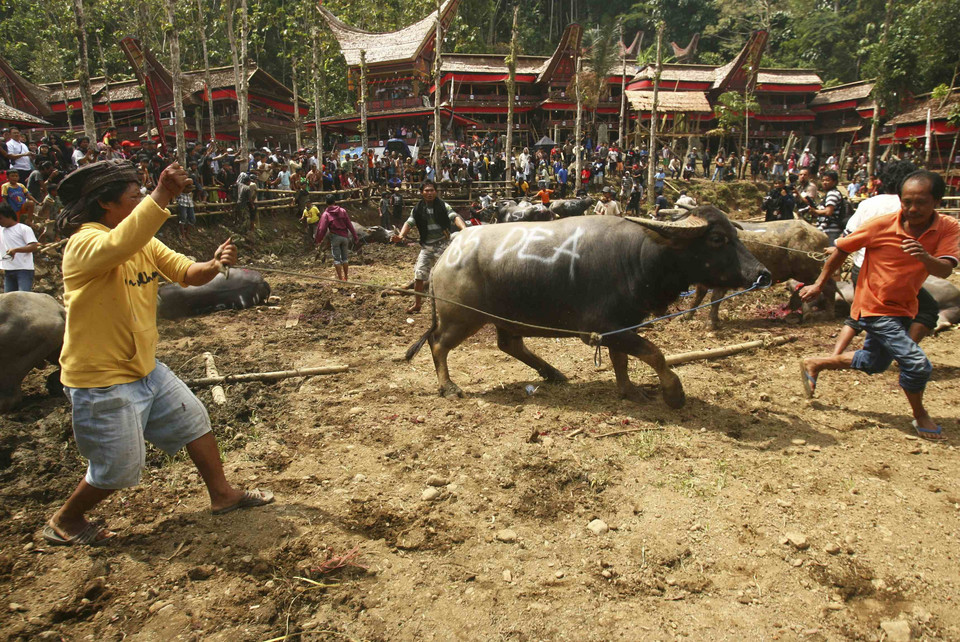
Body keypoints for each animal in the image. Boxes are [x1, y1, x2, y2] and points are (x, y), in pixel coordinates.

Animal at [406, 205, 772, 404]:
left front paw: (629, 390)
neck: (641, 255)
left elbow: (622, 359)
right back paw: (448, 387)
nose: (762, 273)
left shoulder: (621, 324)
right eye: (717, 238)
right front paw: (673, 393)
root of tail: (448, 253)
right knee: (438, 344)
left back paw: (552, 373)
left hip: (506, 317)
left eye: (735, 234)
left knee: (509, 344)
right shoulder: (602, 327)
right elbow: (654, 353)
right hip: (461, 318)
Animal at [684, 218, 832, 328]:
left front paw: (710, 323)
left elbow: (715, 299)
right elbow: (698, 296)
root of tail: (822, 235)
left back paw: (824, 313)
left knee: (825, 286)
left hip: (810, 271)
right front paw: (687, 316)